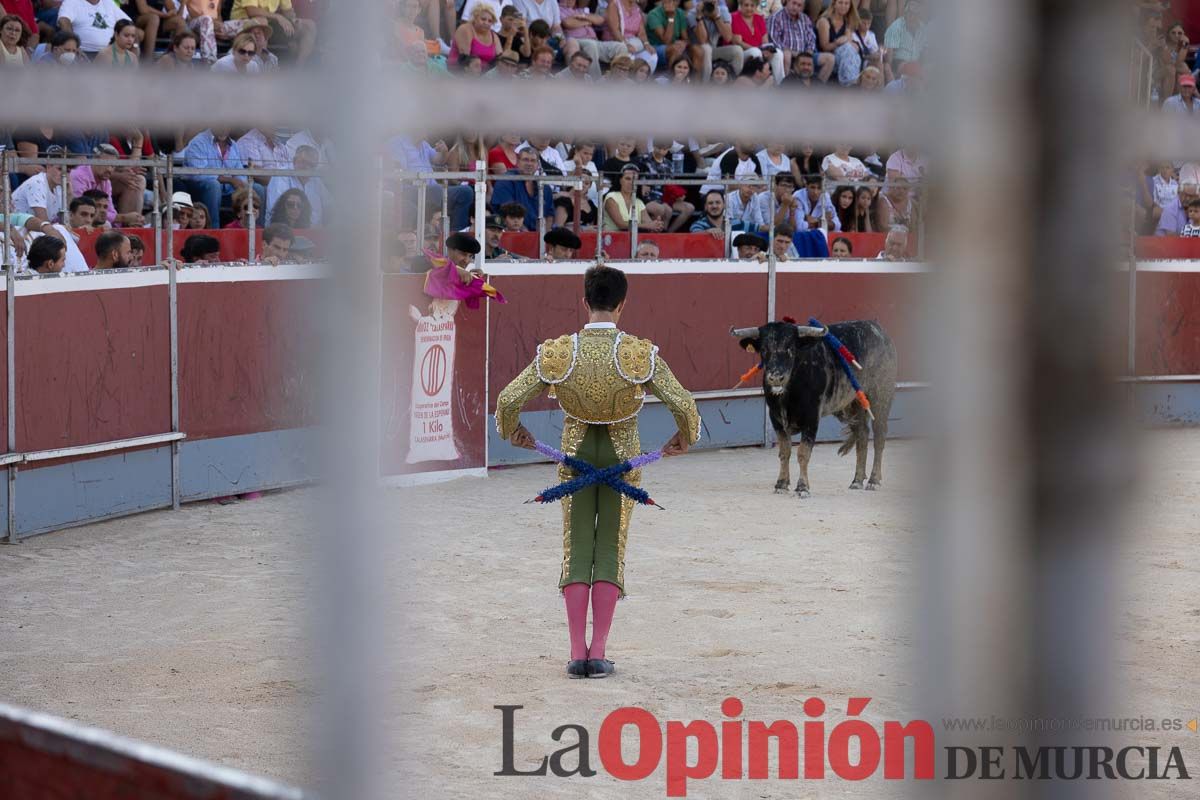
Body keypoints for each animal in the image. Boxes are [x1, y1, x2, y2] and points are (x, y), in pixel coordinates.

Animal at [724, 321, 897, 496]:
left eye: (791, 348)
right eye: (764, 349)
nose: (776, 378)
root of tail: (878, 330)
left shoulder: (812, 418)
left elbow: (803, 452)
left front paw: (802, 487)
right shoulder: (775, 419)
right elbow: (784, 452)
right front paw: (781, 484)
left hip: (881, 395)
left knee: (879, 435)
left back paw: (874, 481)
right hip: (854, 403)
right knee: (862, 435)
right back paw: (857, 481)